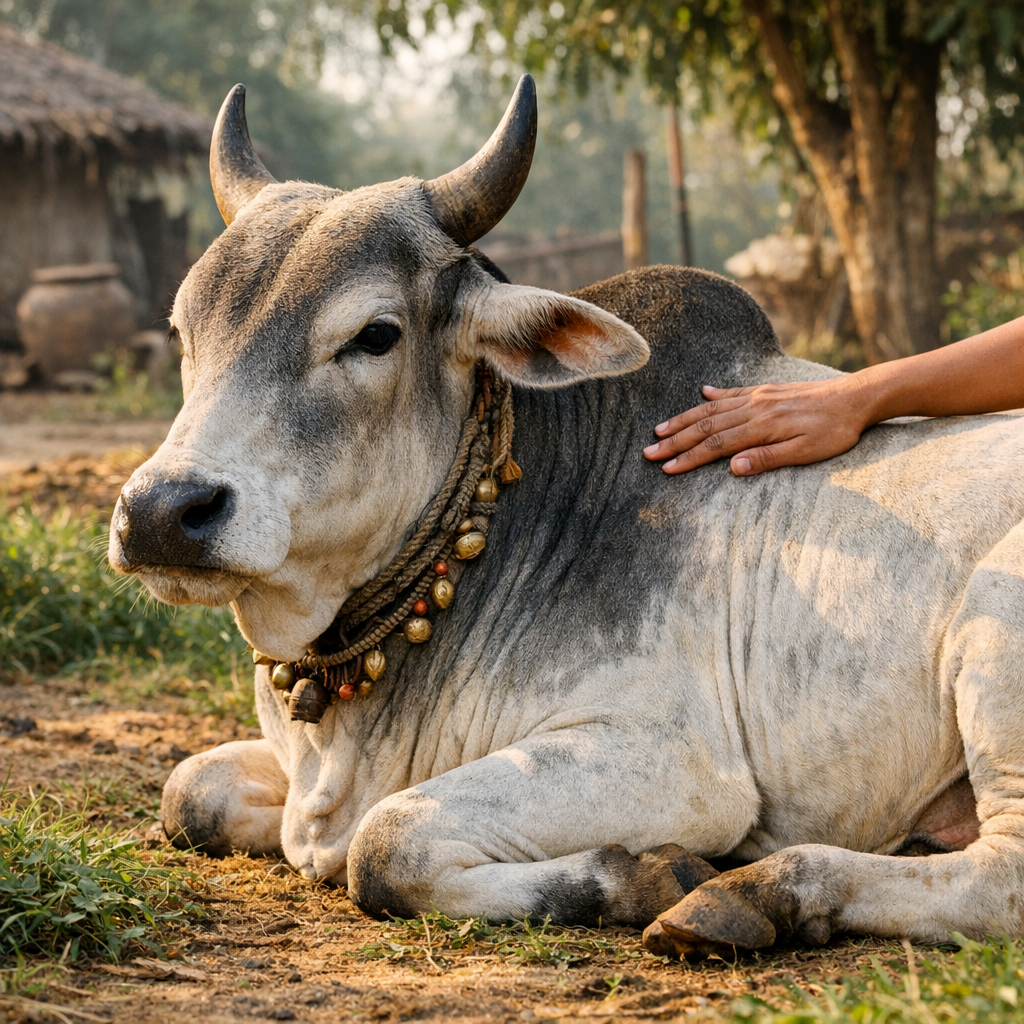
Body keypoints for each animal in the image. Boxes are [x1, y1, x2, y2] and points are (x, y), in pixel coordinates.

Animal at [109, 76, 1024, 960]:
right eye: (184, 331)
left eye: (374, 335)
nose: (161, 511)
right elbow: (191, 790)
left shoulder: (671, 762)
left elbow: (386, 843)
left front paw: (649, 875)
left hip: (996, 634)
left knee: (999, 881)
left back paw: (756, 891)